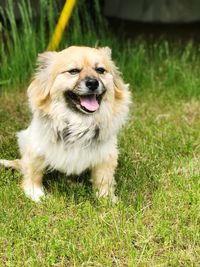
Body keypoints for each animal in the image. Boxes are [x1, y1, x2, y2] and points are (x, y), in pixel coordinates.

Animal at [0, 46, 130, 202]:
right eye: (74, 71)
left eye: (100, 70)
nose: (93, 83)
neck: (79, 123)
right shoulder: (37, 149)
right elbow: (33, 173)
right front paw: (36, 195)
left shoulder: (105, 155)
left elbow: (103, 179)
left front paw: (106, 199)